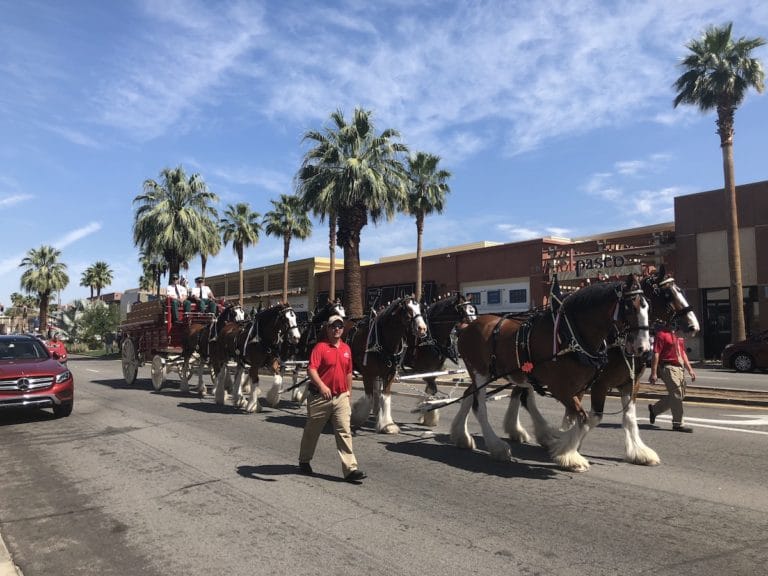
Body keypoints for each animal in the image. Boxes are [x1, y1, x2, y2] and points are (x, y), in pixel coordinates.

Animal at [346, 294, 426, 434]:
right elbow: (369, 398)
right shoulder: (368, 374)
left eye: (420, 308)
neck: (382, 341)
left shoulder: (389, 374)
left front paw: (387, 424)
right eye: (408, 310)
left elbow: (385, 396)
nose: (422, 328)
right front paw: (355, 418)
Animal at [448, 276, 652, 472]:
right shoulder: (564, 388)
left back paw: (461, 436)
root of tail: (466, 327)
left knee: (469, 394)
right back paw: (497, 447)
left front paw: (640, 452)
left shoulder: (604, 384)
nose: (643, 348)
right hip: (481, 372)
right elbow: (583, 418)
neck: (571, 334)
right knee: (479, 407)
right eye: (630, 307)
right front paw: (568, 454)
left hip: (487, 374)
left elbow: (617, 417)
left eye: (647, 306)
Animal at [508, 266, 700, 464]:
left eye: (680, 290)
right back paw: (533, 432)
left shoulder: (630, 383)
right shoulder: (599, 384)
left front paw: (639, 452)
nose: (694, 326)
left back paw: (521, 431)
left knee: (519, 393)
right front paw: (566, 445)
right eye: (667, 294)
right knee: (522, 395)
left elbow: (628, 417)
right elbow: (590, 417)